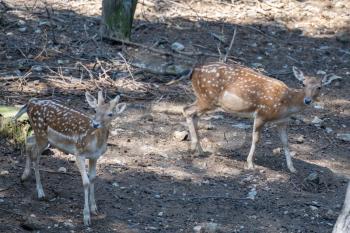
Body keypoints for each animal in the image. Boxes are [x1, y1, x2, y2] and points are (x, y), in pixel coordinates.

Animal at [15, 91, 127, 226]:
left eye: (110, 114)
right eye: (95, 110)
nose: (95, 124)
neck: (95, 143)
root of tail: (30, 102)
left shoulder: (95, 157)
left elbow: (93, 178)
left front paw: (94, 208)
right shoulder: (79, 153)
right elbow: (85, 182)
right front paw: (86, 217)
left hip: (43, 137)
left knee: (29, 141)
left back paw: (24, 177)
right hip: (41, 132)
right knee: (35, 155)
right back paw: (40, 193)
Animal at [183, 62, 334, 173]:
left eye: (319, 87)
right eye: (303, 83)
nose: (307, 100)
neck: (286, 104)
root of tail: (193, 71)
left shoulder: (282, 122)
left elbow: (285, 142)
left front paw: (292, 168)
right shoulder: (262, 113)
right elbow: (256, 139)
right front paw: (250, 164)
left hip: (205, 99)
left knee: (193, 114)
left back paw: (200, 150)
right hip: (207, 98)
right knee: (187, 110)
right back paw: (193, 148)